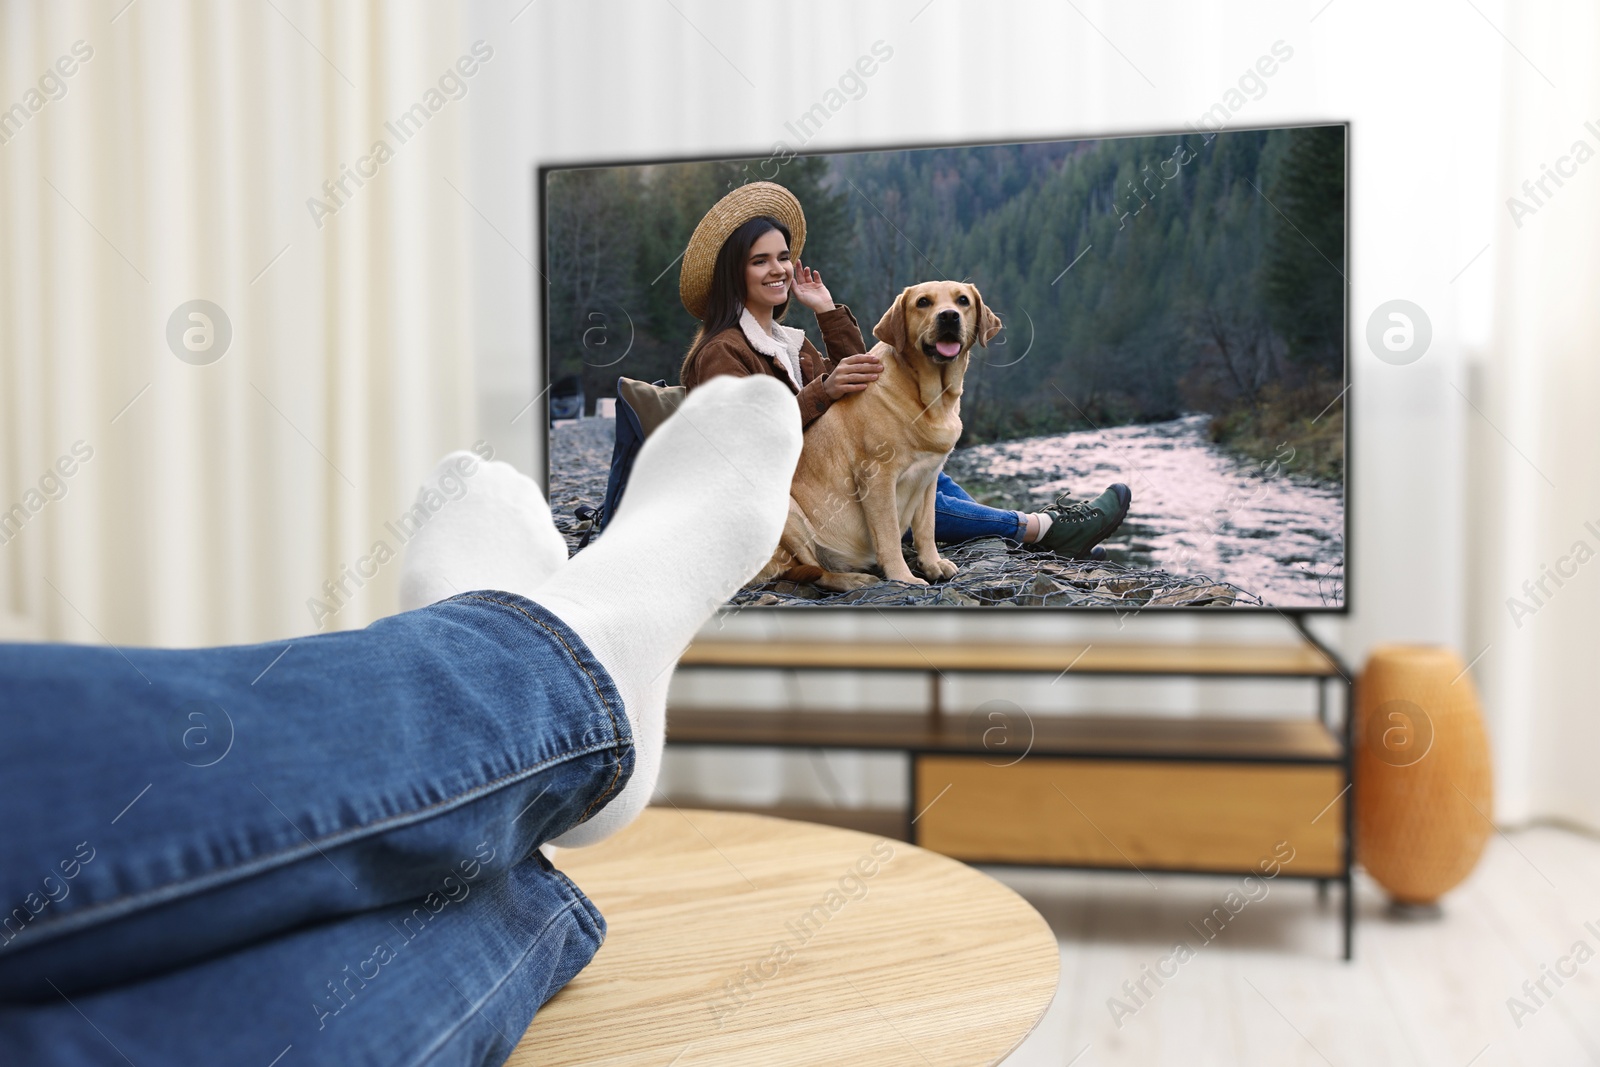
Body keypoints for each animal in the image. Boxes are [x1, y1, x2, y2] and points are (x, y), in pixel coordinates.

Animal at [758, 283, 998, 591]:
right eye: (923, 302)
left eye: (963, 301)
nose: (949, 316)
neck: (930, 399)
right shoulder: (877, 477)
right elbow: (889, 534)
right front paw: (903, 576)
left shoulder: (929, 477)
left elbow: (926, 528)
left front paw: (932, 564)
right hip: (788, 514)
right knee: (815, 571)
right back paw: (853, 579)